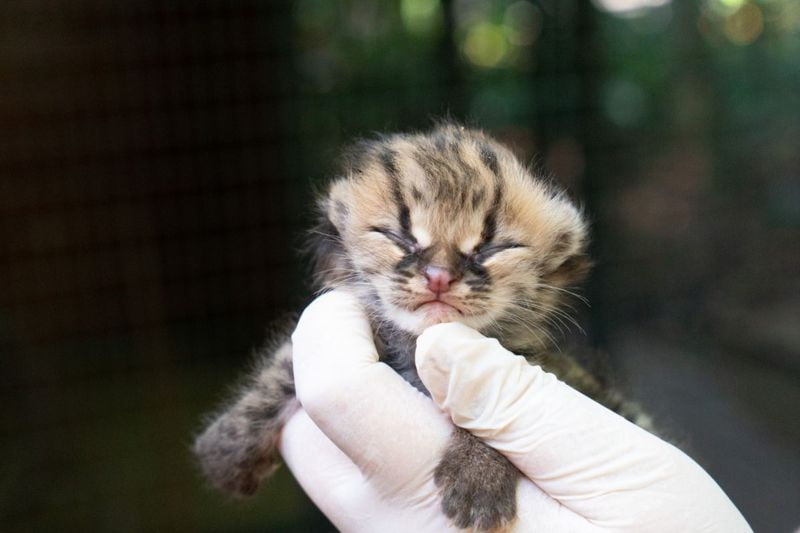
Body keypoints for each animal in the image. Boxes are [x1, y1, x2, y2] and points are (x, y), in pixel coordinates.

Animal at [195, 123, 648, 528]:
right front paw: (228, 444)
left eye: (491, 248)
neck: (416, 345)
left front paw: (477, 476)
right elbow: (283, 366)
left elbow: (491, 406)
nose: (439, 277)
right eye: (400, 237)